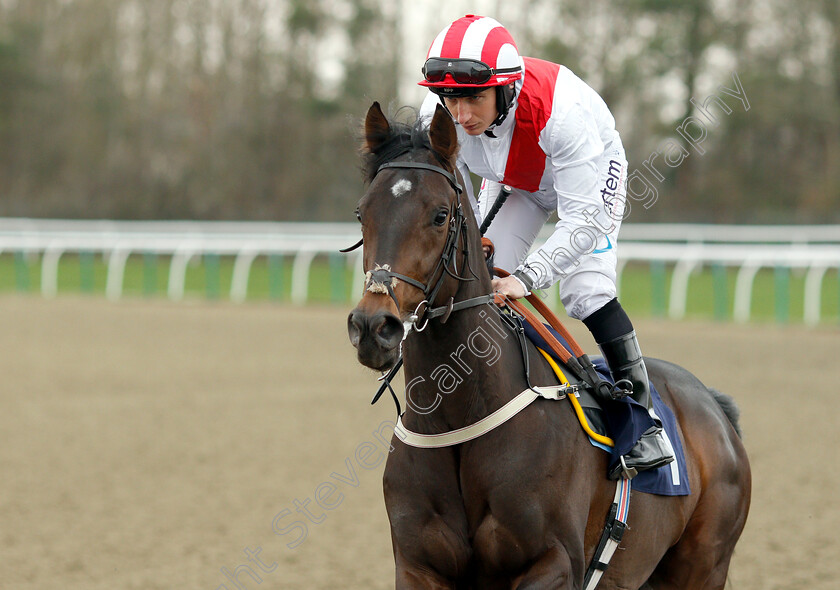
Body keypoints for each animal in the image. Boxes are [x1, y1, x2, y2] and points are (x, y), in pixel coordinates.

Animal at [344, 103, 752, 590]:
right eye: (362, 213)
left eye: (440, 215)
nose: (373, 326)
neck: (460, 417)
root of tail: (714, 406)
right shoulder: (416, 565)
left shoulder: (554, 562)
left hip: (703, 565)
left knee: (590, 289)